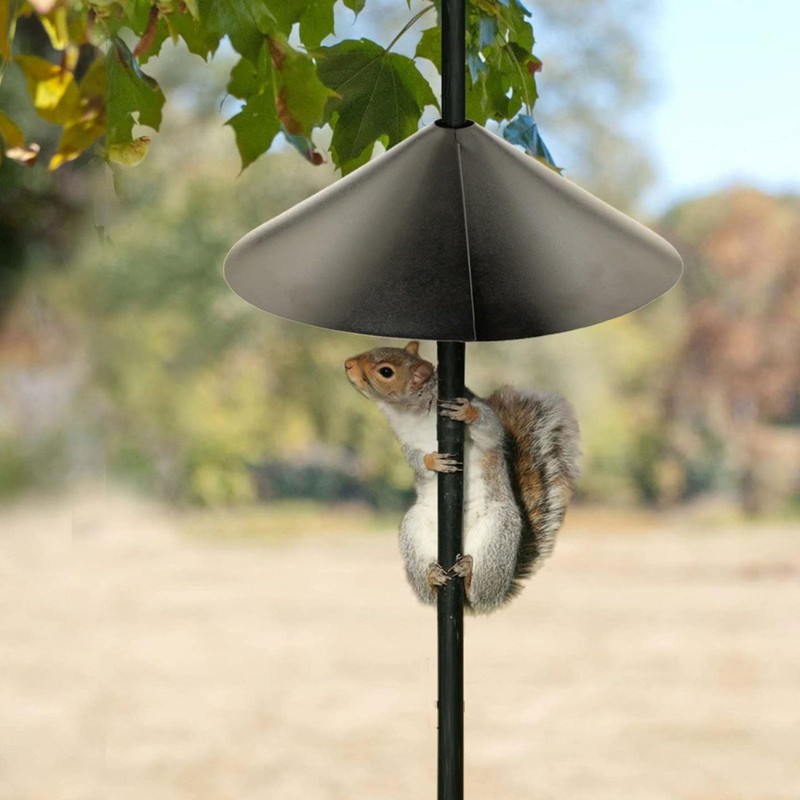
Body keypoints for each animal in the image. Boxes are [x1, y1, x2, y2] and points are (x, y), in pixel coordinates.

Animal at [344, 341, 581, 614]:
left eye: (385, 372)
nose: (347, 364)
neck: (411, 412)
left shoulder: (486, 425)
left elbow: (490, 430)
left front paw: (467, 412)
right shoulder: (407, 443)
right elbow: (415, 460)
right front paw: (433, 462)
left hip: (498, 534)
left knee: (479, 594)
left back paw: (468, 576)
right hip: (414, 530)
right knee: (429, 595)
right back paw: (432, 577)